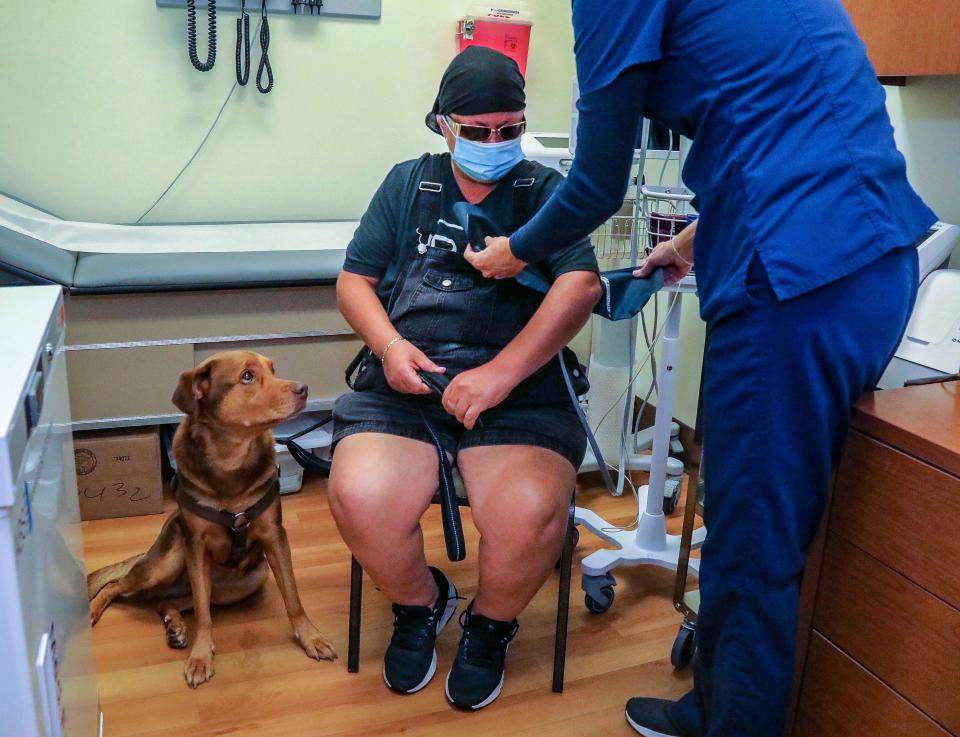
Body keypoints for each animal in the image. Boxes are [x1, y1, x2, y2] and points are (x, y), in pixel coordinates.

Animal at [84, 350, 338, 684]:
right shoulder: (196, 544)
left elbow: (293, 597)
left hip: (247, 581)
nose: (304, 389)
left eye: (273, 369)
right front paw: (201, 656)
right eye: (247, 376)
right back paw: (94, 611)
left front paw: (311, 637)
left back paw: (176, 627)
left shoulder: (274, 535)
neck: (230, 457)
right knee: (118, 586)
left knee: (169, 600)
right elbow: (204, 616)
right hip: (169, 561)